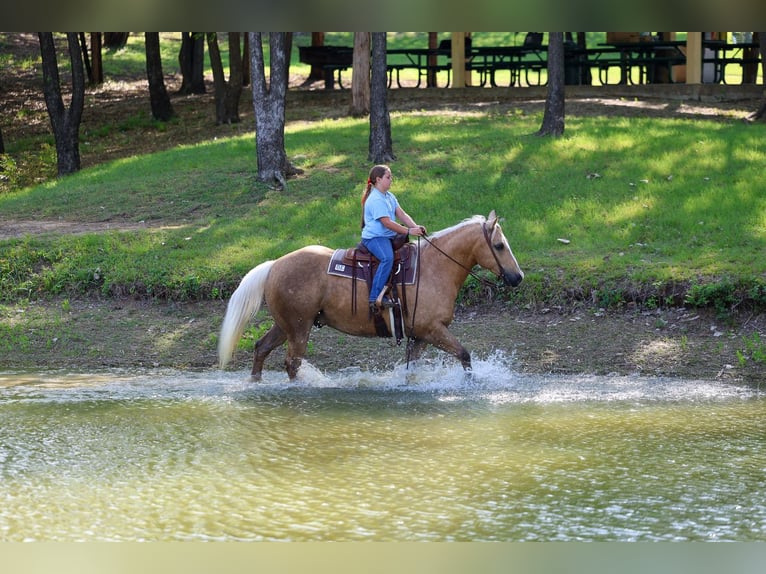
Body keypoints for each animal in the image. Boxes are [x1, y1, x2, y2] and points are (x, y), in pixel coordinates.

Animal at [218, 210, 523, 380]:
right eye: (499, 245)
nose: (518, 277)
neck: (436, 267)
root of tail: (274, 265)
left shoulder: (422, 336)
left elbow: (411, 368)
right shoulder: (432, 330)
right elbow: (465, 356)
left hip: (285, 325)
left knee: (261, 348)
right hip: (299, 328)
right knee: (292, 363)